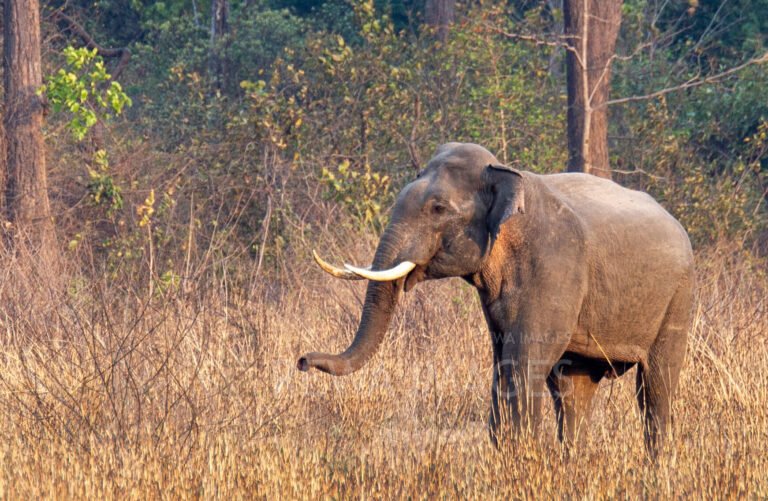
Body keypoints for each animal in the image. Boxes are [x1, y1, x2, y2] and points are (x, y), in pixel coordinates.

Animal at [298, 142, 694, 455]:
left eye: (438, 209)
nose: (302, 361)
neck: (505, 172)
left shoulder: (554, 269)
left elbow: (524, 361)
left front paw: (520, 456)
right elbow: (503, 361)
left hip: (678, 298)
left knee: (655, 385)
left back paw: (656, 466)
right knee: (573, 390)